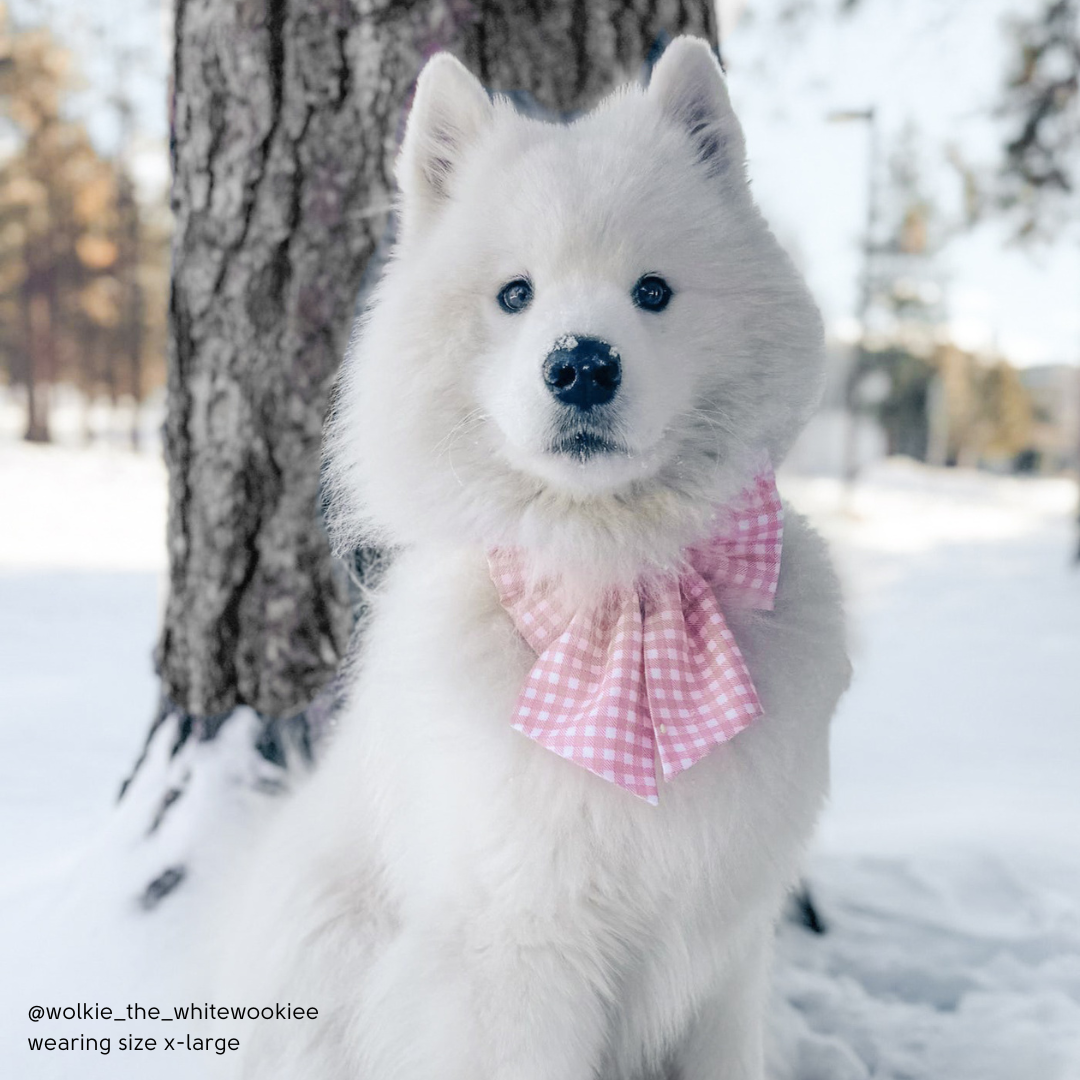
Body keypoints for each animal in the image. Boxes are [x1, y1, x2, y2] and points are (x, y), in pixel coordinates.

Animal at [221, 38, 851, 1080]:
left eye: (653, 291)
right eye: (515, 294)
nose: (582, 364)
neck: (618, 584)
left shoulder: (725, 956)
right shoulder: (515, 954)